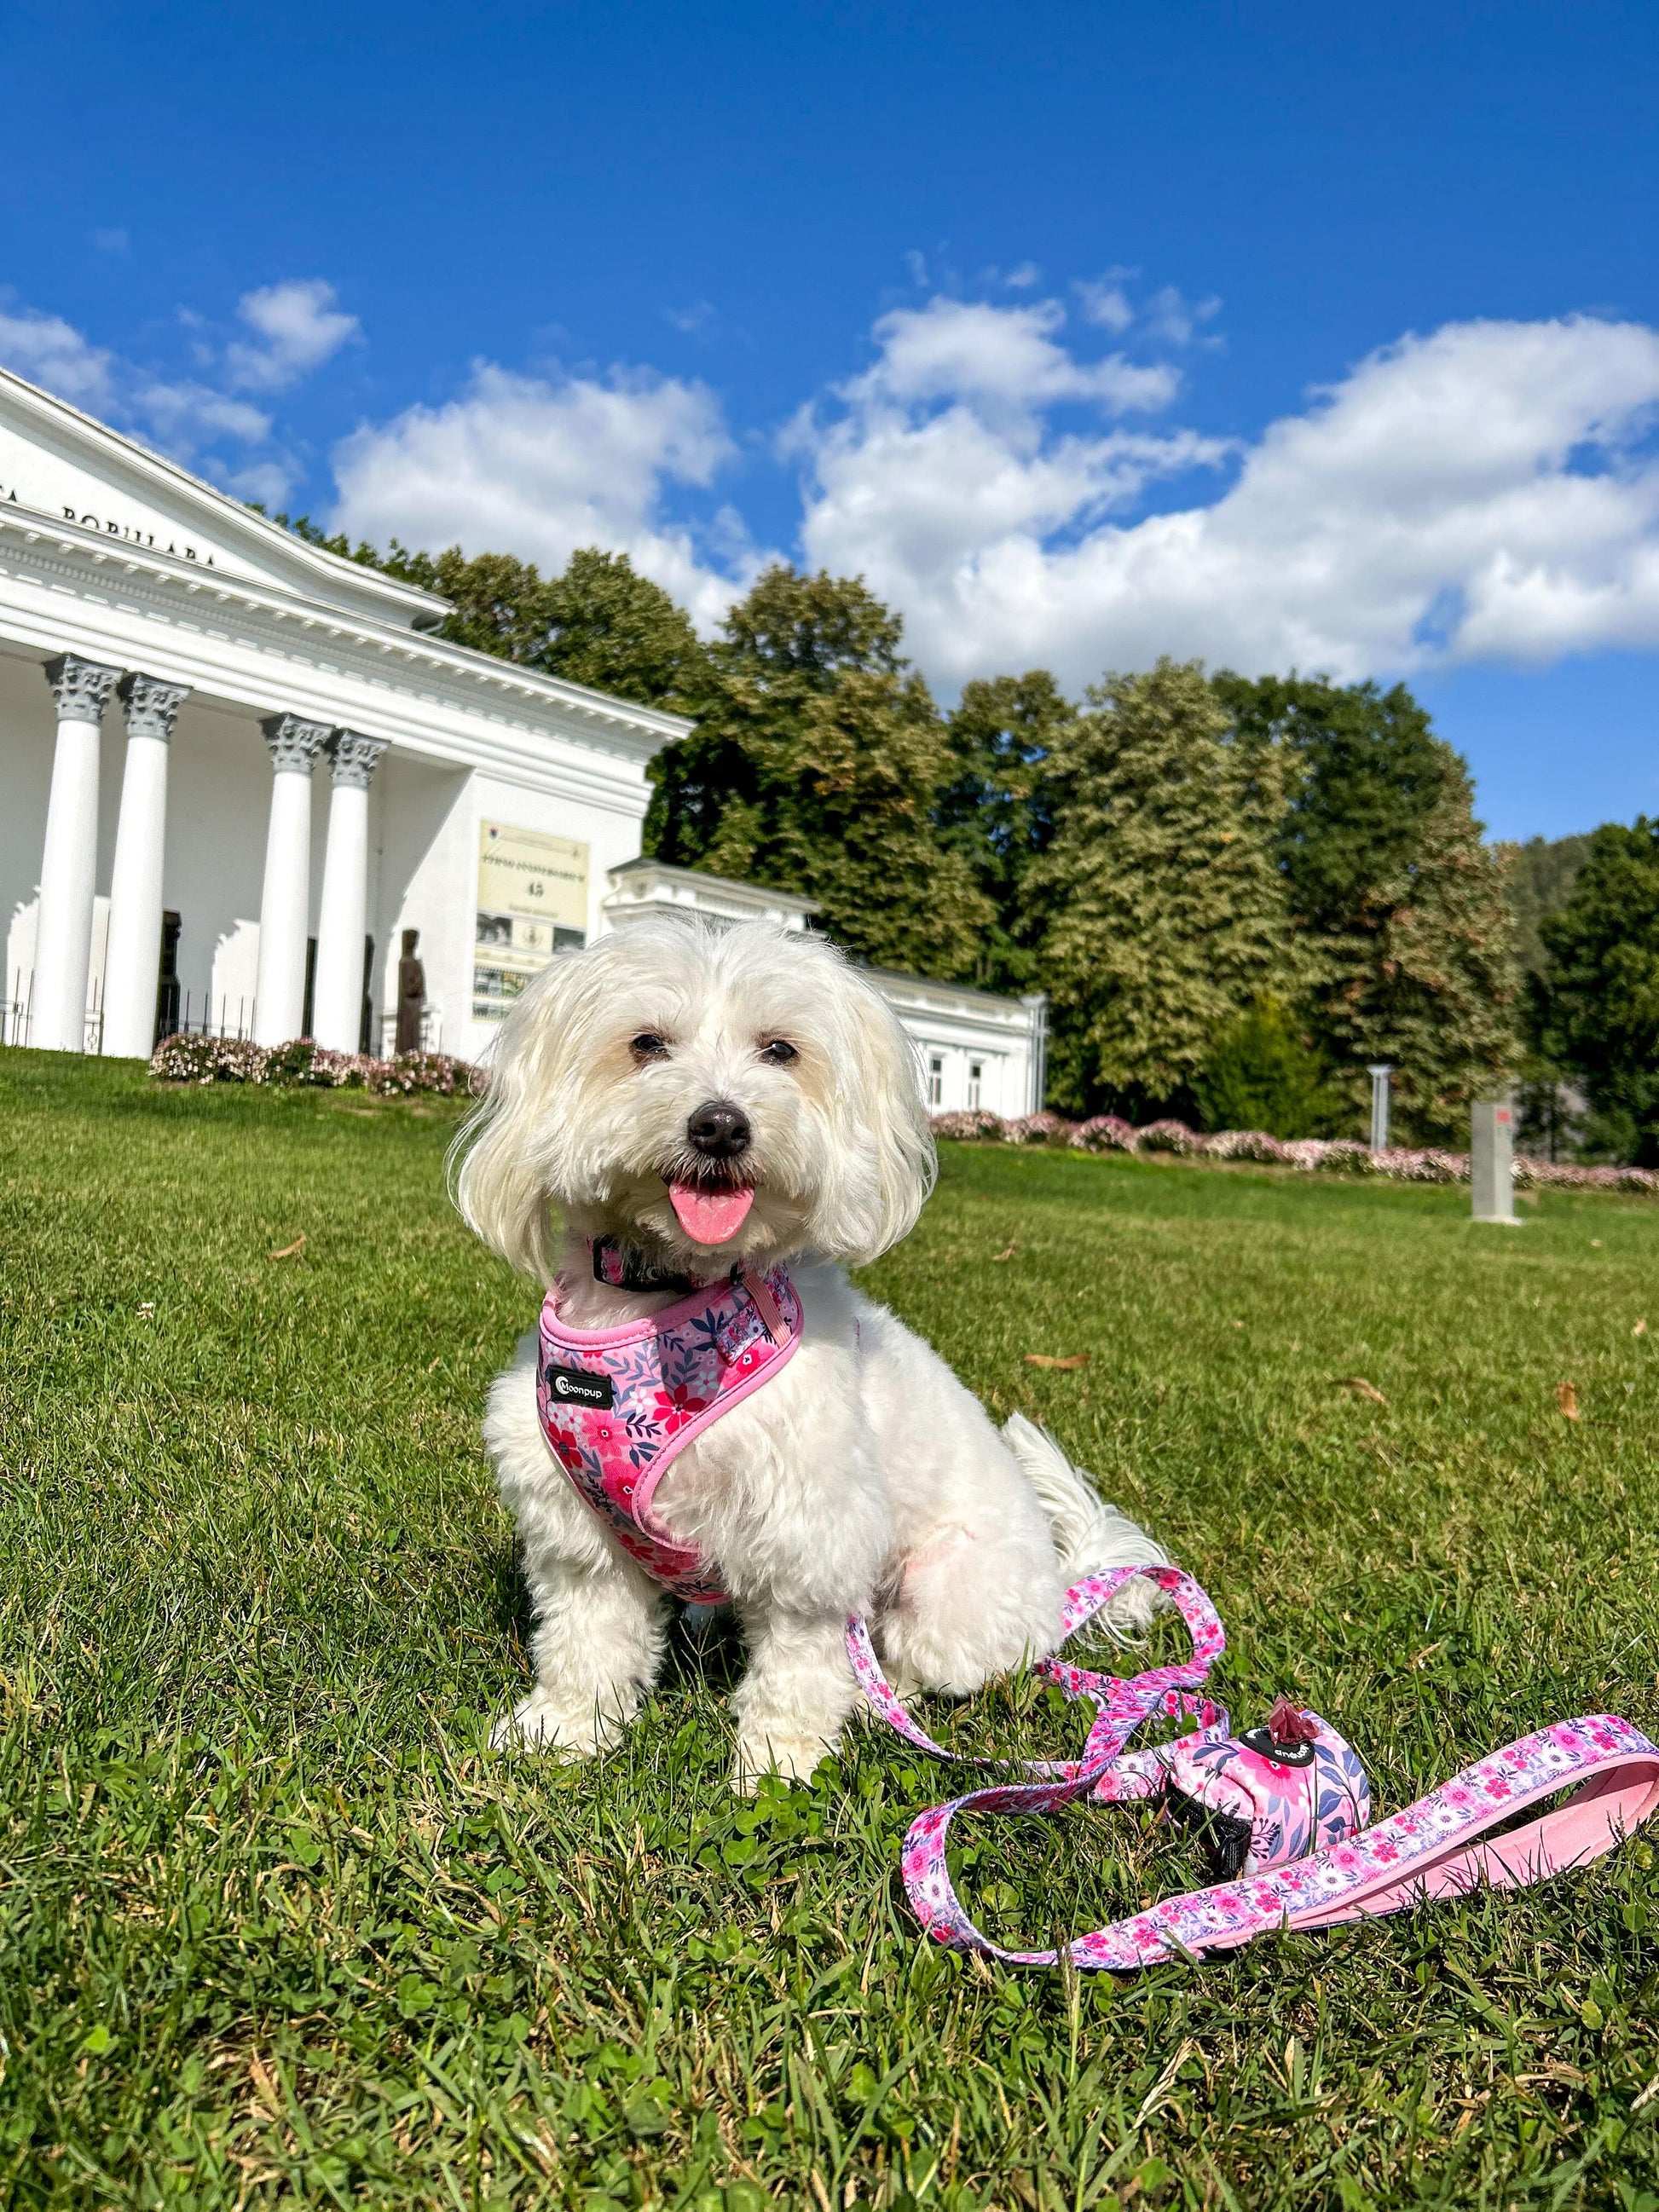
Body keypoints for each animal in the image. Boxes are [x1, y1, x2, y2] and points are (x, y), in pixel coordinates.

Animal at [458, 906, 1167, 1787]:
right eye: (647, 1043)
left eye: (780, 1050)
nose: (721, 1124)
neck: (665, 1303)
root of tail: (1060, 1588)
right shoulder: (577, 1528)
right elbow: (587, 1639)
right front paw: (562, 1729)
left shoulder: (809, 1527)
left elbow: (797, 1661)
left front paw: (777, 1762)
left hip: (946, 1595)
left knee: (926, 1666)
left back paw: (872, 1698)